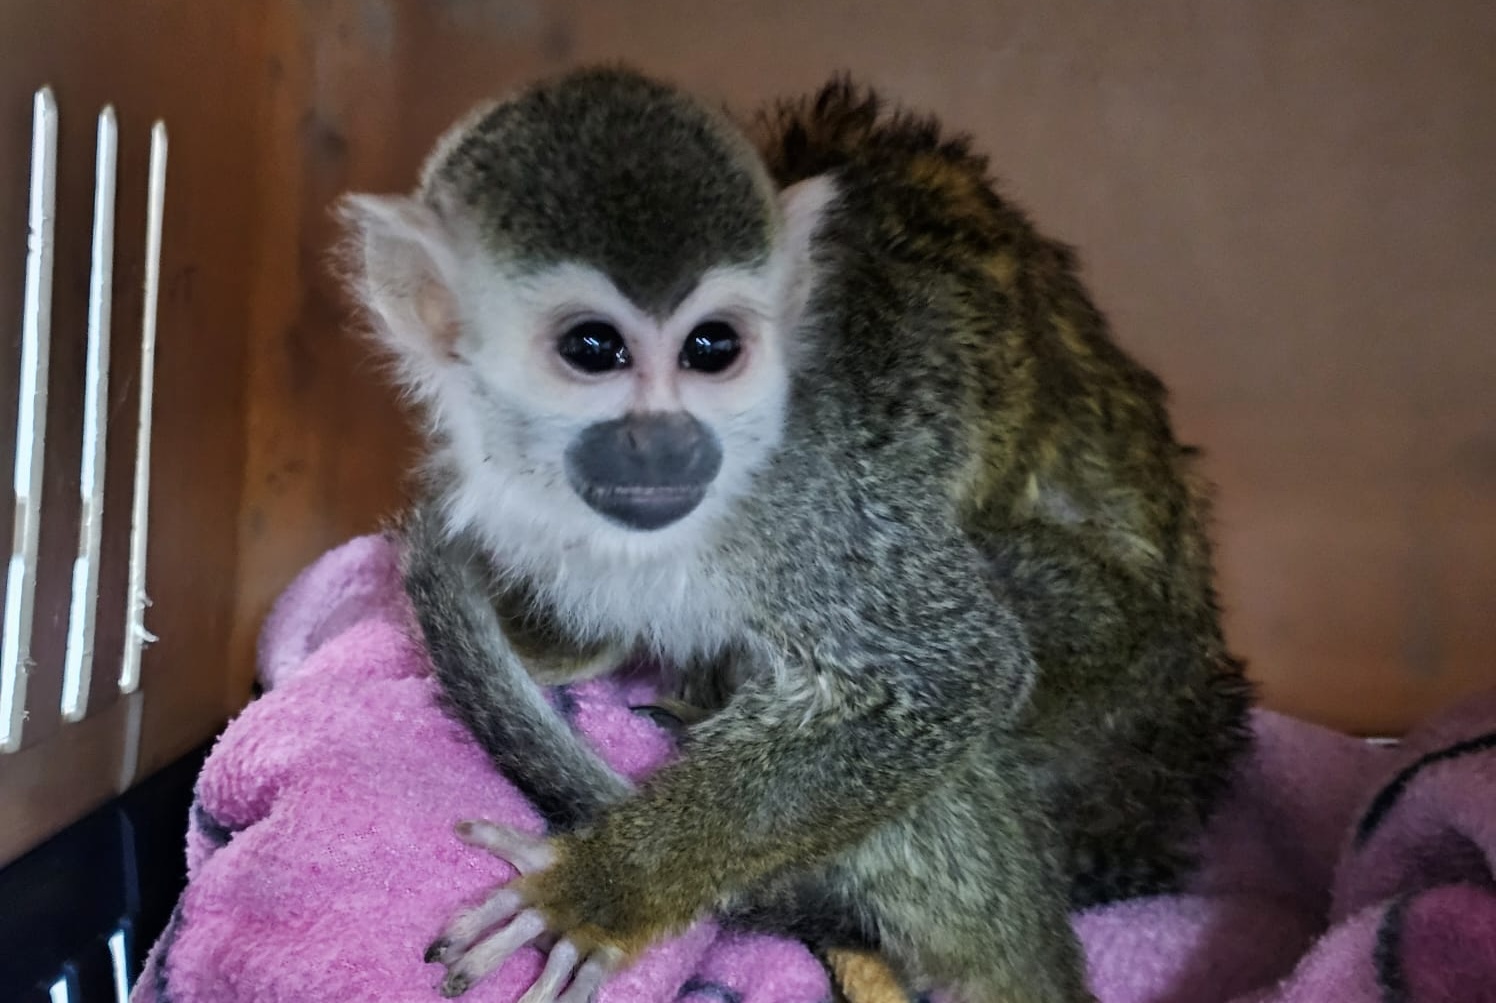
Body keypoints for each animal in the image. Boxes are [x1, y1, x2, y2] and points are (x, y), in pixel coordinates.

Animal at [337, 66, 1254, 1003]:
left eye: (713, 347)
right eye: (592, 348)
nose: (668, 442)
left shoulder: (805, 498)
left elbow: (957, 670)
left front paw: (601, 889)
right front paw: (553, 646)